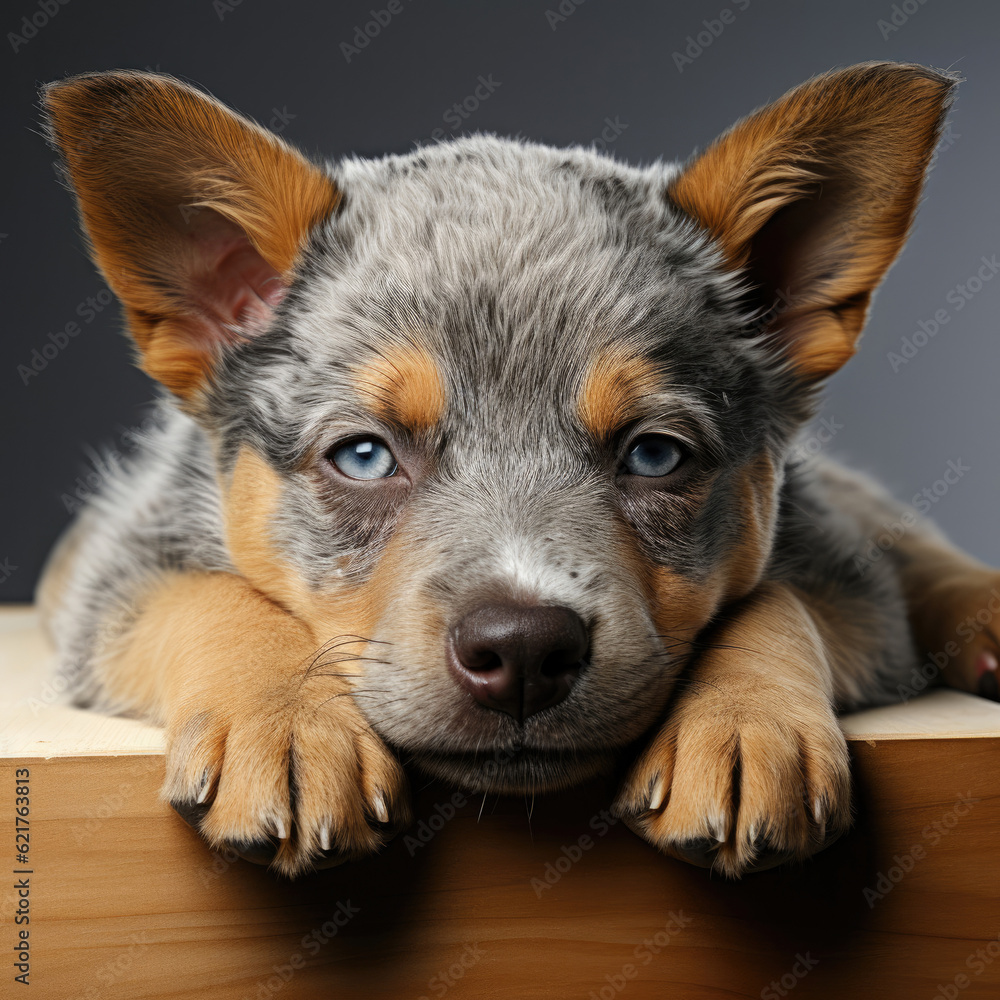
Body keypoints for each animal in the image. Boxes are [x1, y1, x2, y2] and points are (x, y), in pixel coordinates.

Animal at [35, 62, 996, 876]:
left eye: (654, 454)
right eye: (364, 455)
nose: (525, 649)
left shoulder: (849, 588)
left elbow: (777, 600)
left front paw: (748, 723)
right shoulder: (117, 576)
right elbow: (213, 592)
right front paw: (287, 723)